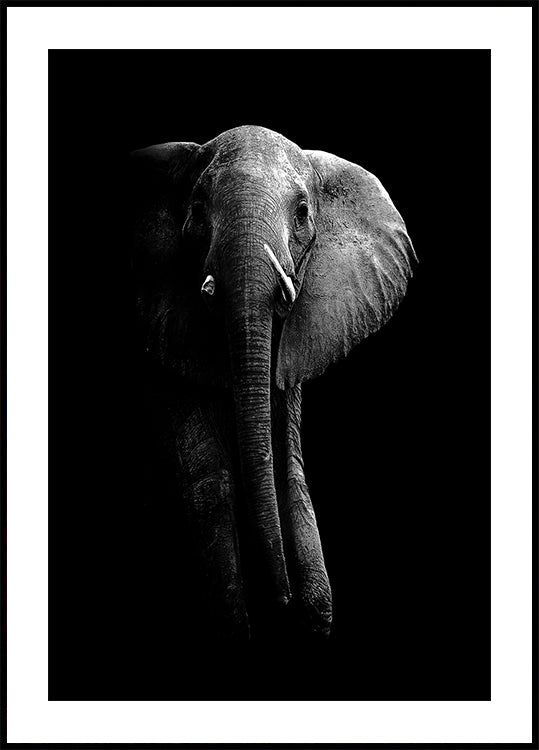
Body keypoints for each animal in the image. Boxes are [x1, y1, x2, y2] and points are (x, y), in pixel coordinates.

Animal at [130, 125, 416, 641]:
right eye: (197, 208)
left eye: (302, 213)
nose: (281, 604)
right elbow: (208, 471)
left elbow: (286, 458)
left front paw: (311, 613)